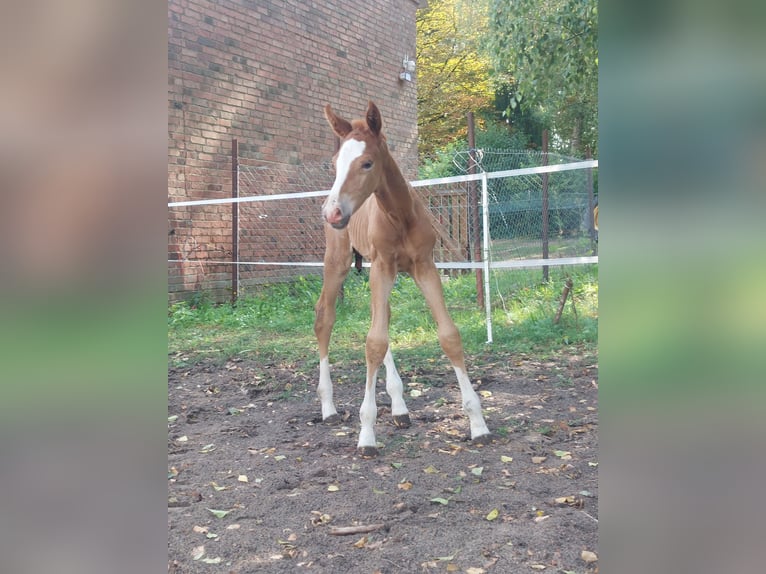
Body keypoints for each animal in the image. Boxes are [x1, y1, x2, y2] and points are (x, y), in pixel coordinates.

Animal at [316, 100, 492, 460]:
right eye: (334, 164)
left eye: (367, 162)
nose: (332, 212)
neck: (399, 215)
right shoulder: (383, 266)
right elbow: (373, 342)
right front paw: (367, 435)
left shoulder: (424, 266)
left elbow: (448, 335)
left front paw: (478, 424)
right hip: (338, 262)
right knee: (325, 317)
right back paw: (328, 407)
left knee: (381, 317)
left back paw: (399, 407)